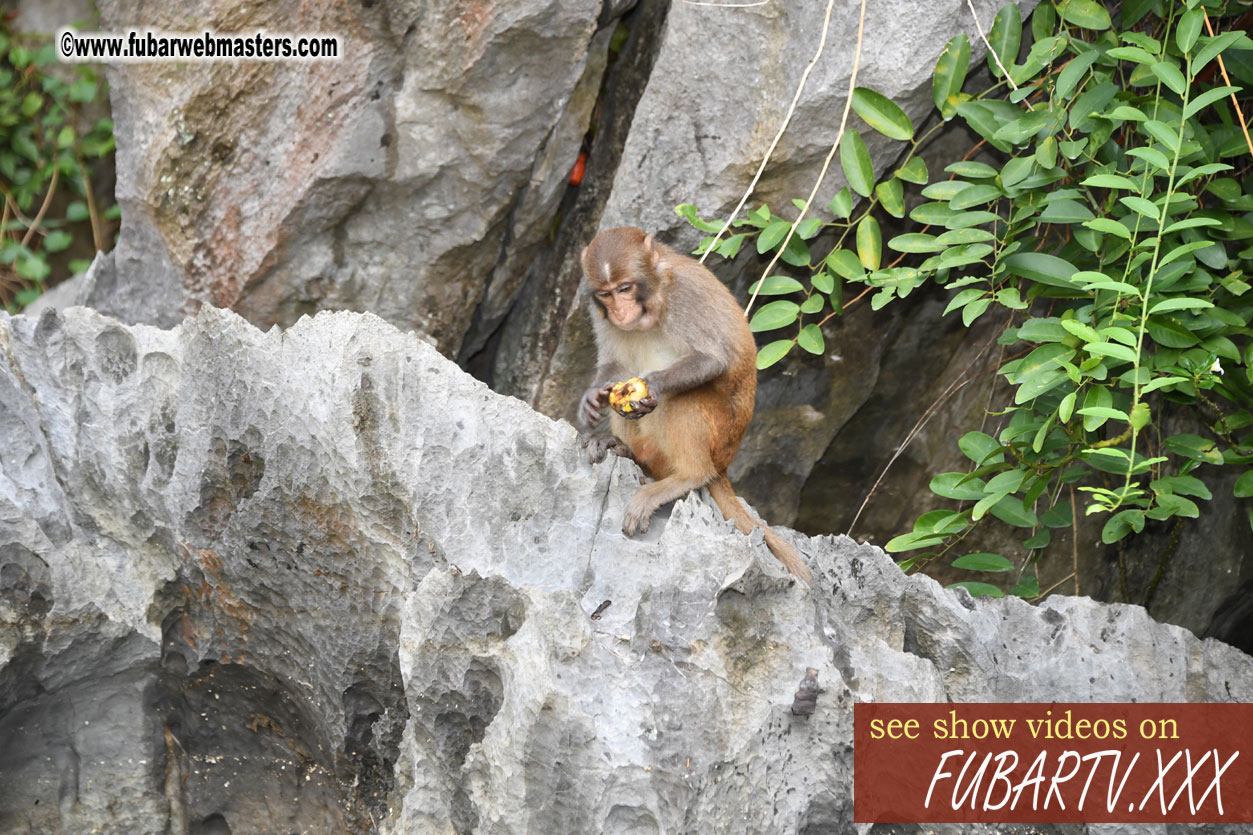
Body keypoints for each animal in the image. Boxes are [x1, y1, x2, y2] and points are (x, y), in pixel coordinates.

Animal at [576, 224, 811, 581]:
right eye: (605, 294)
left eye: (625, 288)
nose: (618, 311)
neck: (656, 294)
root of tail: (724, 464)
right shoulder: (598, 315)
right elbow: (615, 365)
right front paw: (592, 398)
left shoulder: (686, 296)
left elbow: (712, 360)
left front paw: (654, 384)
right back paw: (621, 446)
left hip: (717, 436)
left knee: (682, 399)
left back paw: (689, 475)